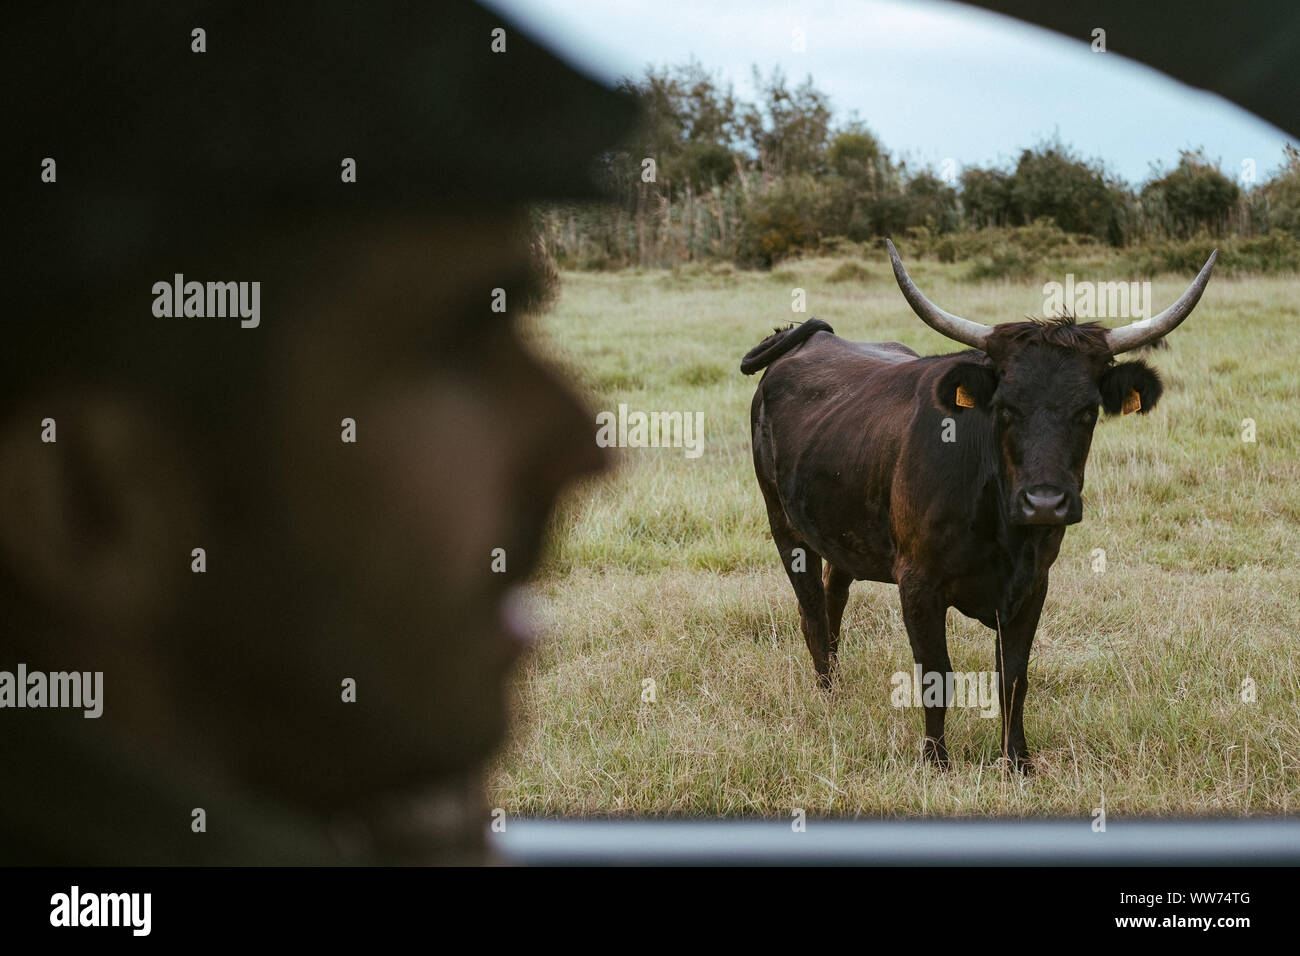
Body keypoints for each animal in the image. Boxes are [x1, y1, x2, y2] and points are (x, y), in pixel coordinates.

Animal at [743, 240, 1216, 770]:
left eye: (1088, 410)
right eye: (1006, 407)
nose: (1044, 503)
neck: (1001, 528)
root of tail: (807, 341)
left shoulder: (1034, 584)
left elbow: (1013, 678)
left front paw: (1018, 763)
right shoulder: (918, 585)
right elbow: (936, 676)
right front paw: (936, 762)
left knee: (833, 595)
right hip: (784, 527)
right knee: (810, 611)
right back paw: (827, 695)